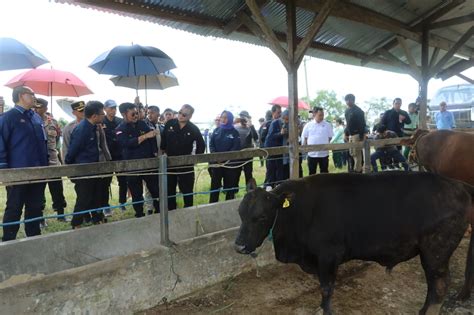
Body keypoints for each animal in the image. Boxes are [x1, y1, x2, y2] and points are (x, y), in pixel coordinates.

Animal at [234, 173, 474, 315]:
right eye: (240, 213)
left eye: (261, 217)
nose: (239, 247)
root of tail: (460, 186)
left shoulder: (329, 256)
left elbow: (326, 288)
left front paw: (324, 311)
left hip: (435, 253)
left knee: (439, 287)